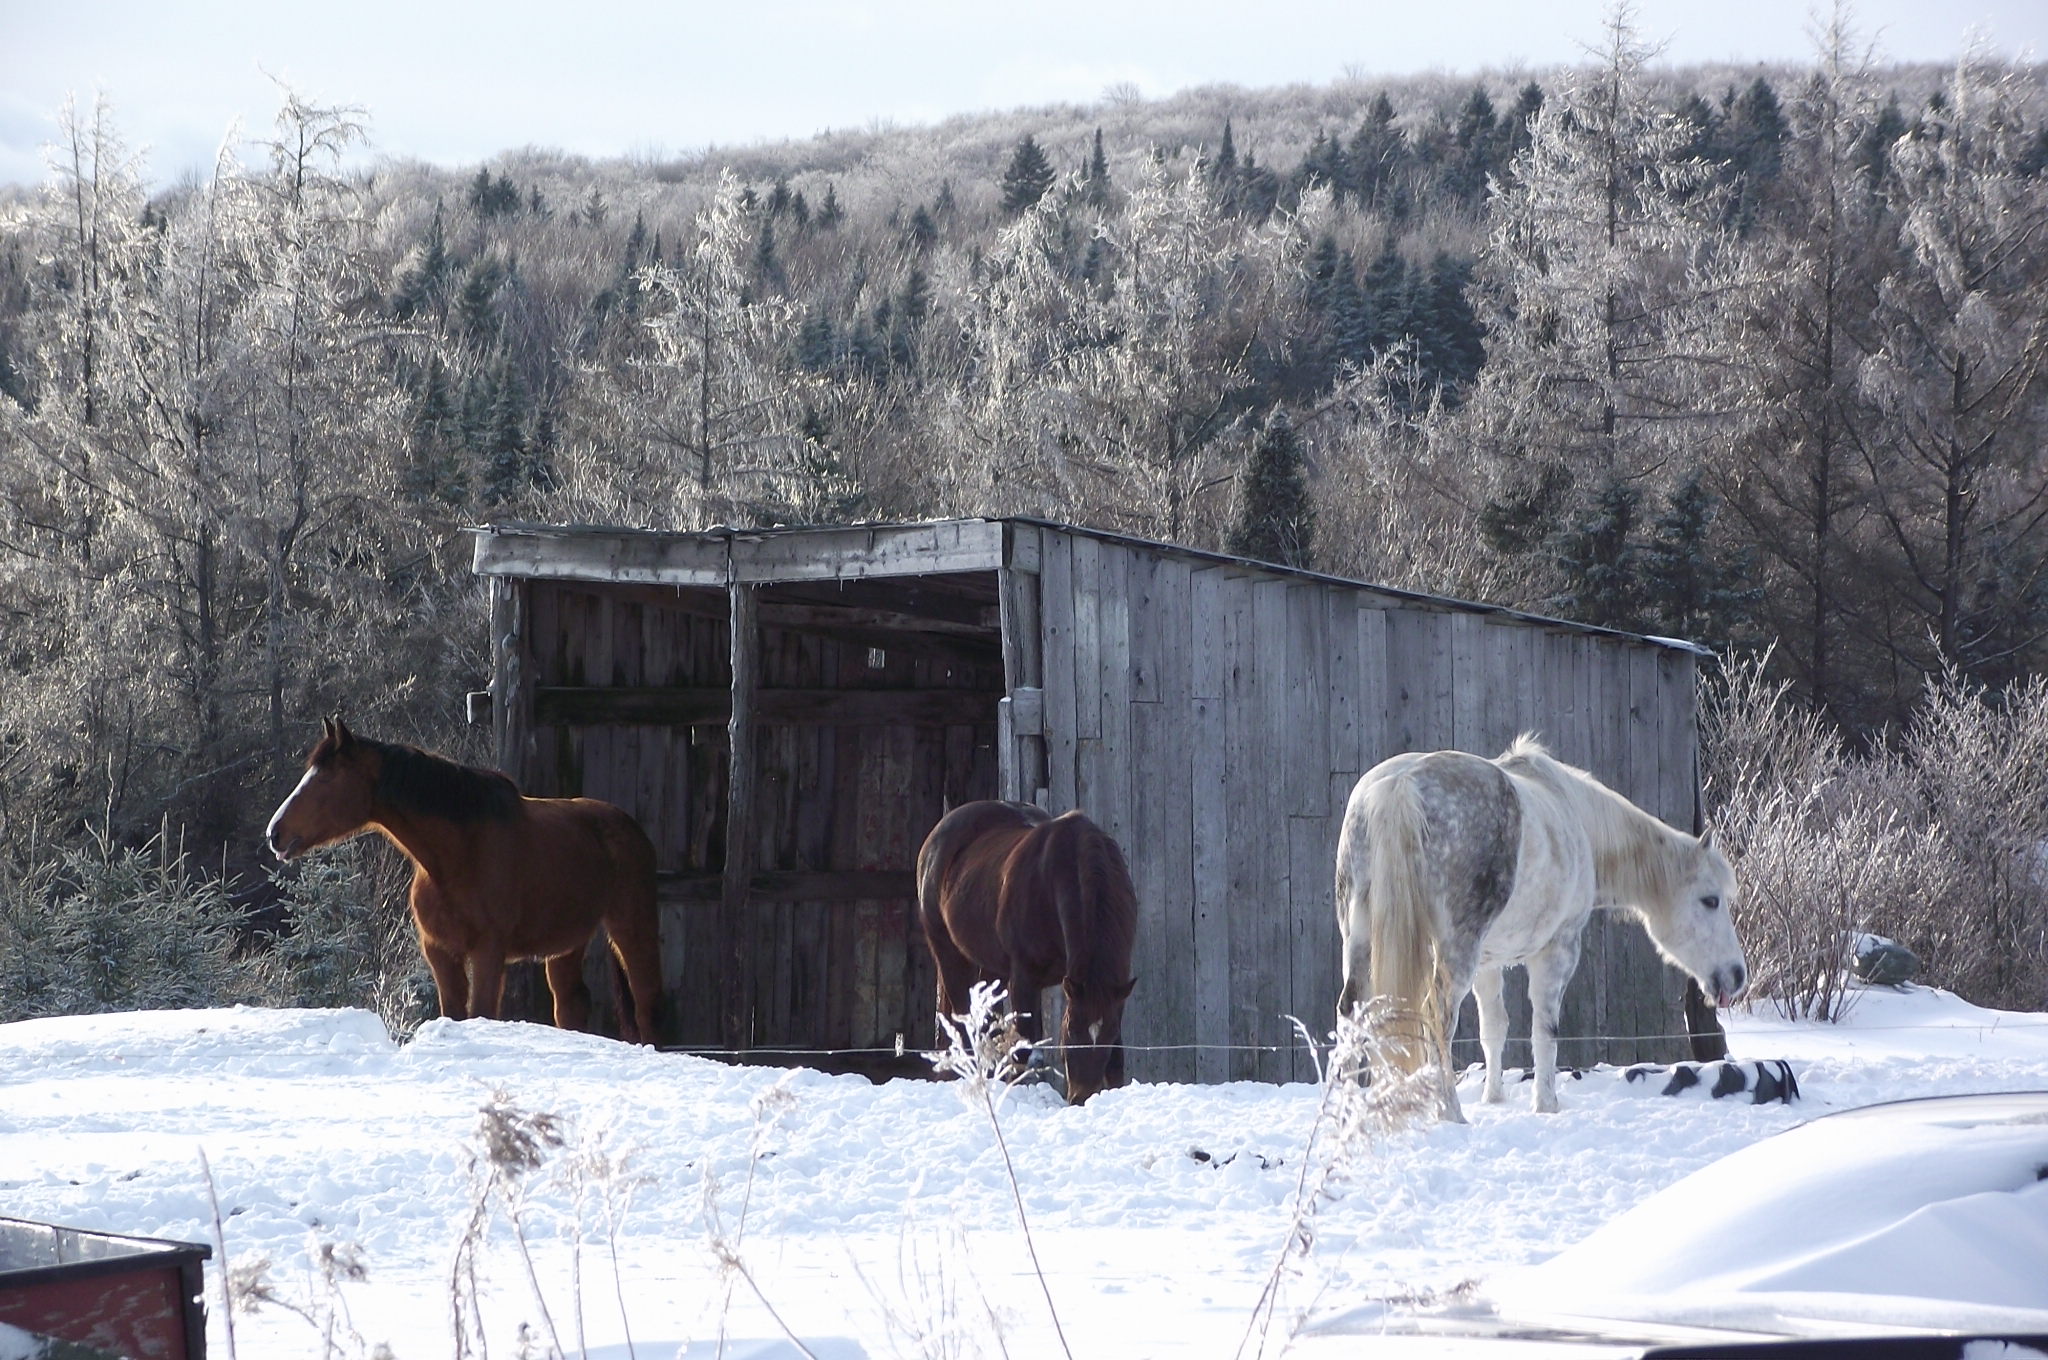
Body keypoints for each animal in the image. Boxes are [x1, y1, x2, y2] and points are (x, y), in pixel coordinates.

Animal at [265, 716, 663, 1043]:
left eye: (327, 777)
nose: (275, 833)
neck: (457, 856)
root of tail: (626, 825)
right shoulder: (440, 952)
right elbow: (456, 1014)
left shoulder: (488, 952)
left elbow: (481, 1012)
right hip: (566, 943)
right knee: (572, 1005)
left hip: (632, 928)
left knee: (646, 1003)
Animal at [916, 801, 1138, 1105]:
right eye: (1071, 1030)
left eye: (1107, 1032)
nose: (1082, 1097)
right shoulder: (1024, 977)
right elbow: (1024, 1045)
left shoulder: (1115, 992)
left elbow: (1117, 1054)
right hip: (948, 951)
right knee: (963, 1023)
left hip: (991, 968)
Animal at [1335, 734, 1746, 1122]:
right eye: (1710, 900)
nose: (1737, 975)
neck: (1576, 815)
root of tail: (1400, 786)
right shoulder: (1558, 949)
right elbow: (1545, 1030)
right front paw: (1547, 1105)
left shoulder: (1488, 963)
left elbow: (1494, 1028)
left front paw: (1494, 1098)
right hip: (1455, 952)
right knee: (1437, 1019)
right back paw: (1450, 1112)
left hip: (1360, 941)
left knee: (1351, 1009)